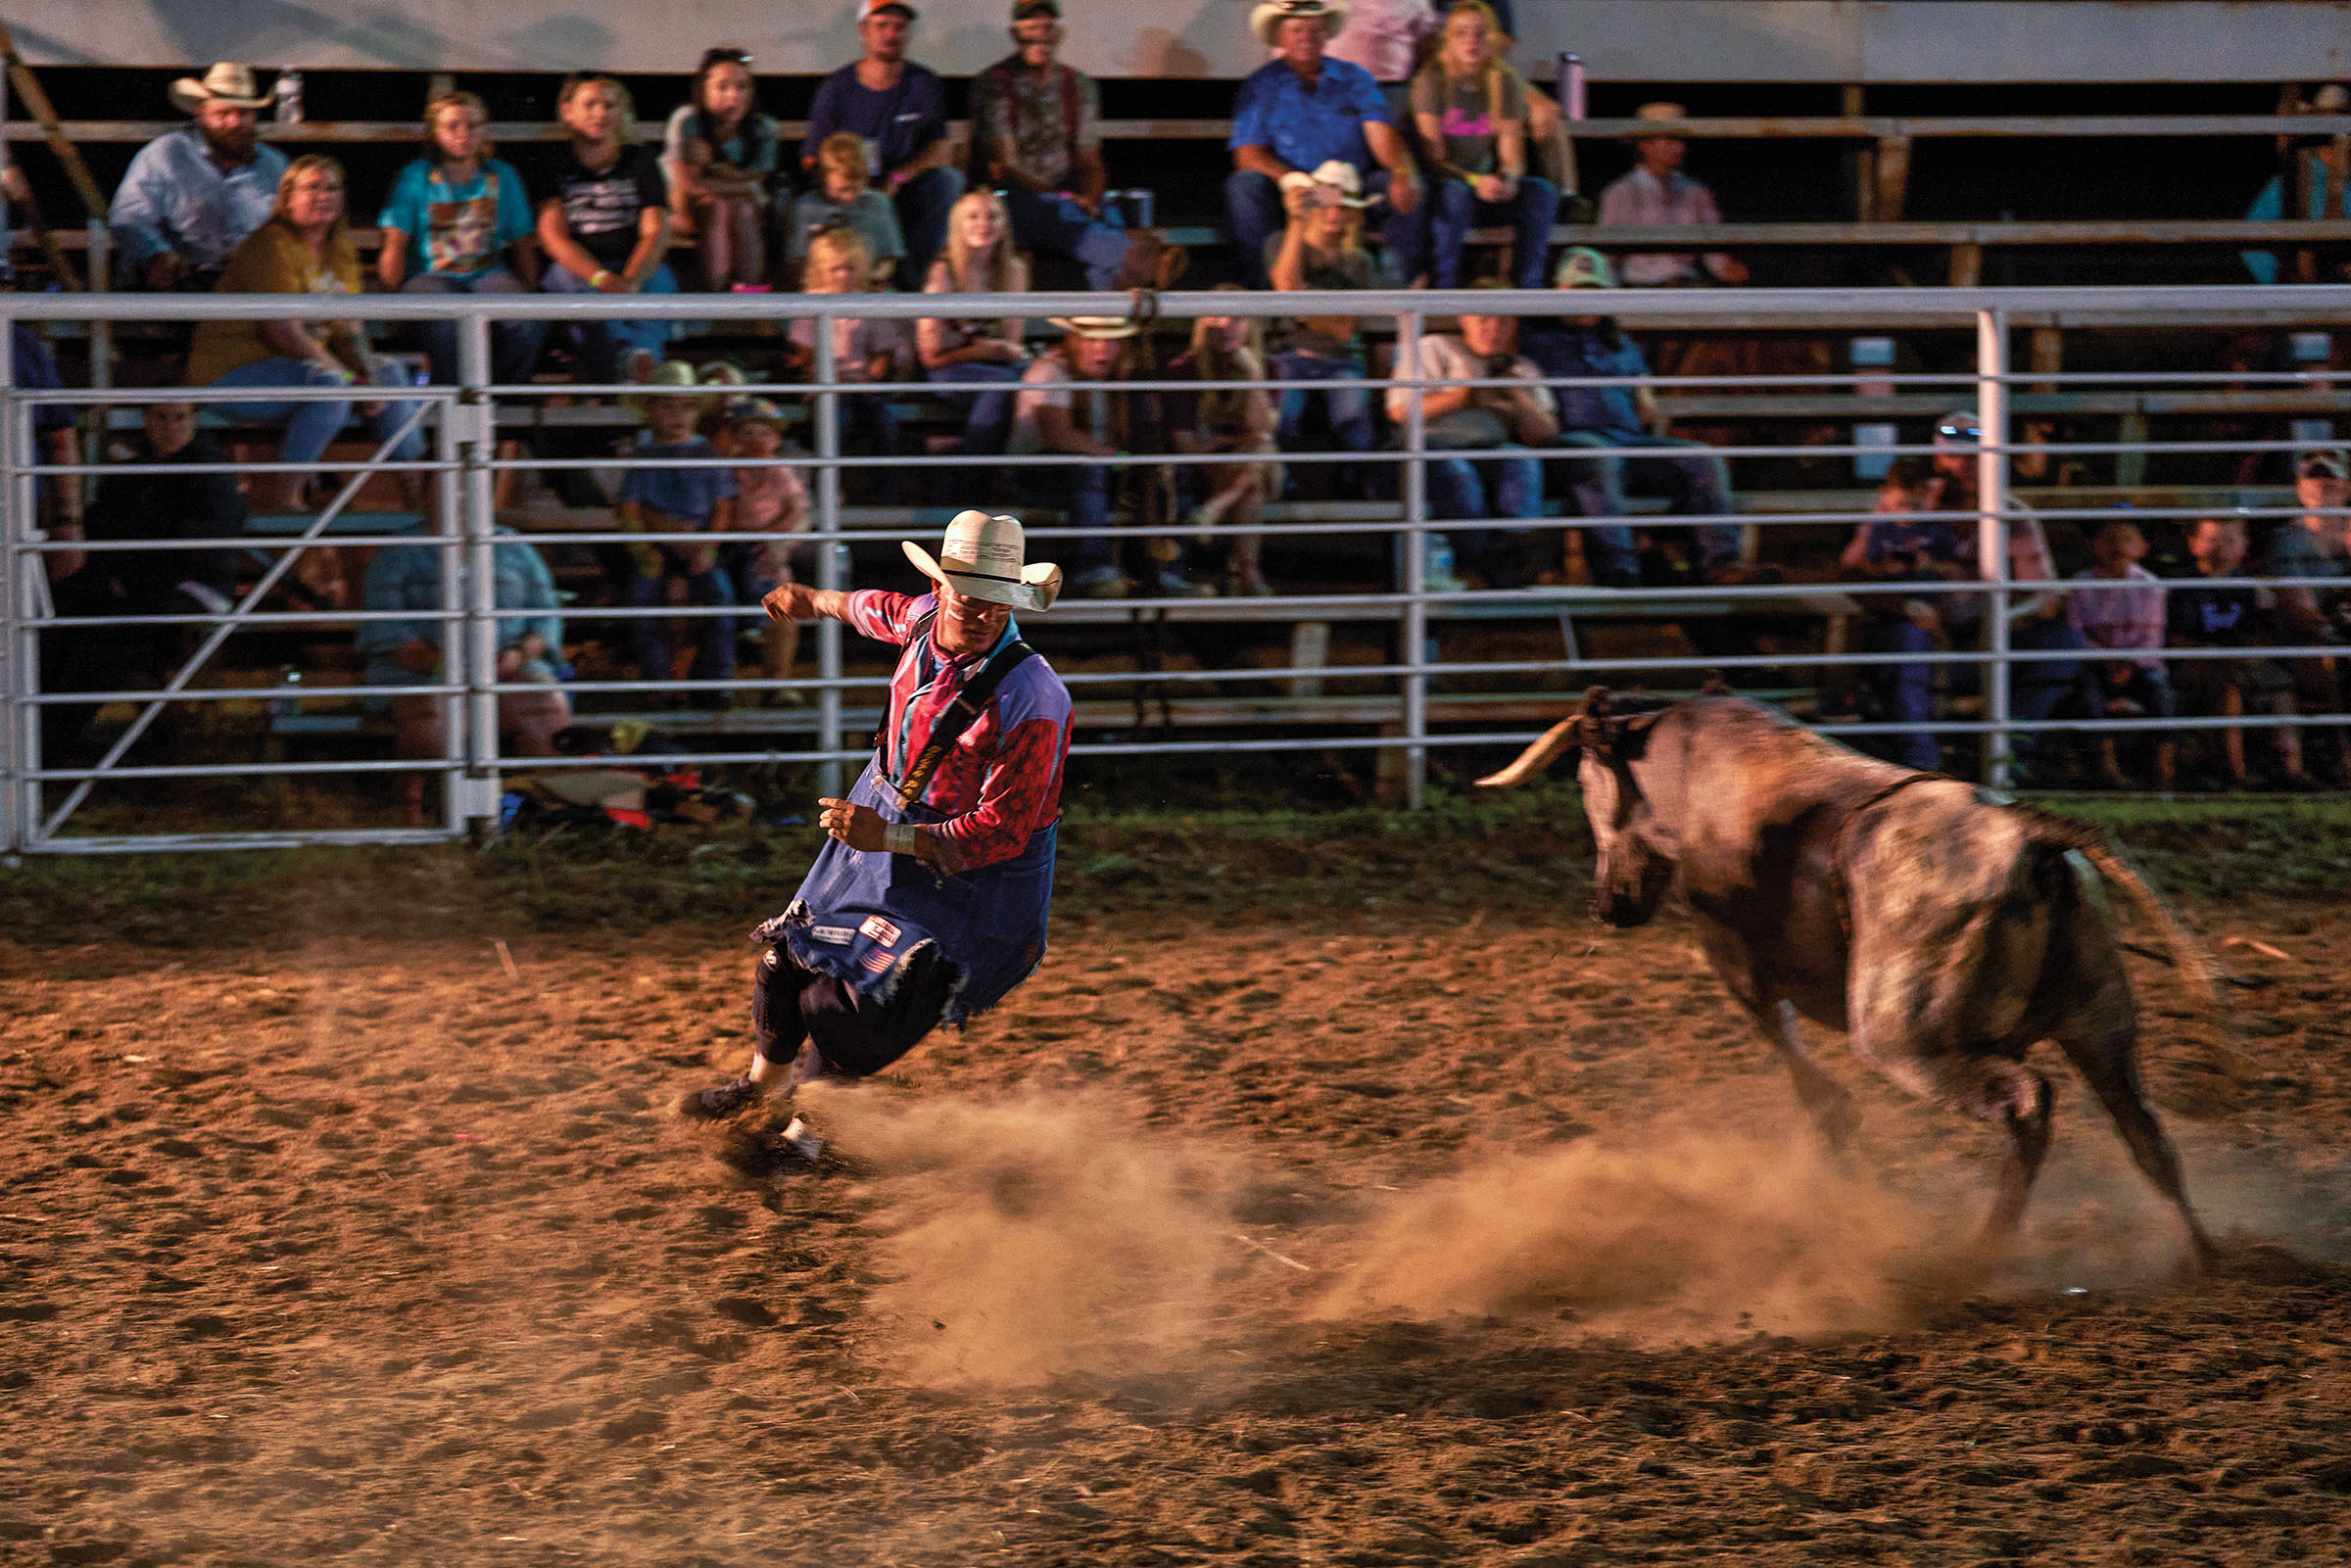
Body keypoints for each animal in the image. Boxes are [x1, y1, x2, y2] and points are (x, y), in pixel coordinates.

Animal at [1485, 690, 2219, 1269]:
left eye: (1587, 786)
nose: (1605, 904)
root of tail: (2032, 837)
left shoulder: (1733, 956)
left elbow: (1790, 1051)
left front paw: (1837, 1130)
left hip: (1906, 1041)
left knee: (2027, 1103)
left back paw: (1978, 1255)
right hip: (2100, 1022)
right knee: (2143, 1128)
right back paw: (2202, 1255)